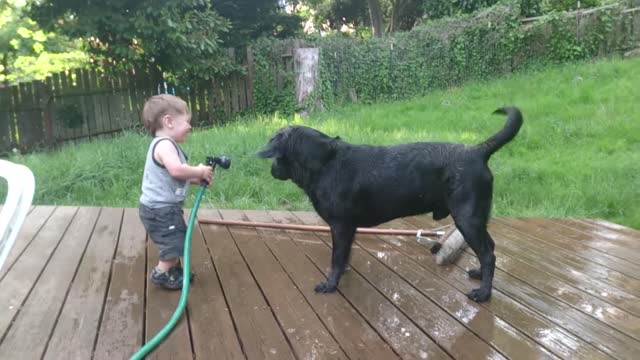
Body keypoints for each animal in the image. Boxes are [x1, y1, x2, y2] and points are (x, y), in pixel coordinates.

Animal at [258, 106, 524, 300]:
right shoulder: (348, 229)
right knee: (490, 249)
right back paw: (479, 275)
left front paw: (331, 284)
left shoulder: (340, 226)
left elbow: (336, 258)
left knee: (488, 254)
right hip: (476, 219)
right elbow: (344, 256)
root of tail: (478, 151)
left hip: (467, 219)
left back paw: (484, 294)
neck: (326, 163)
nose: (271, 170)